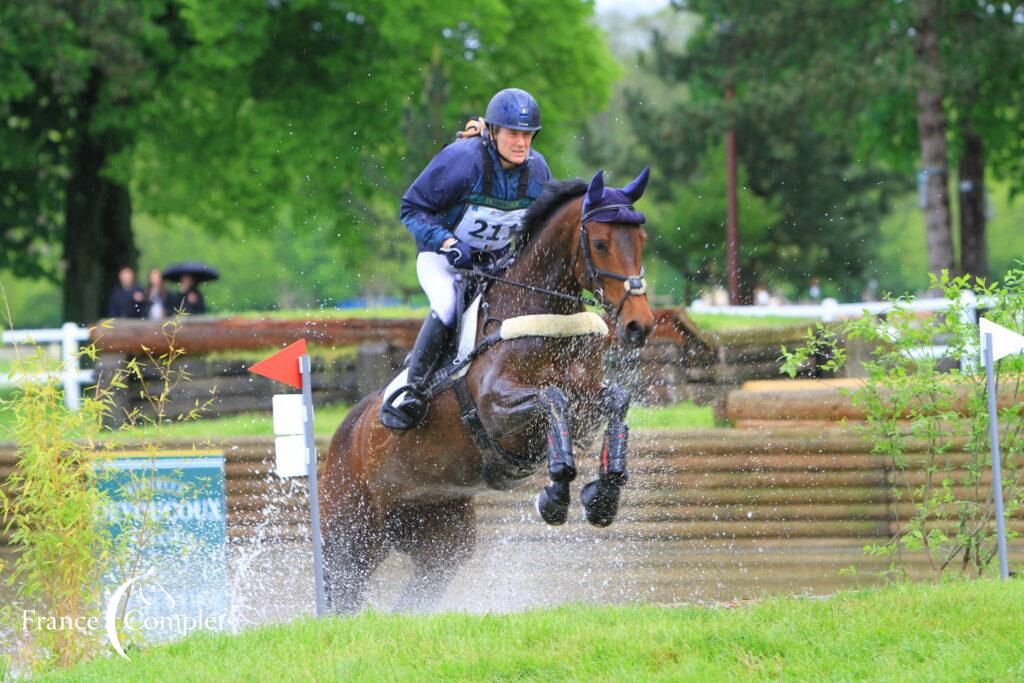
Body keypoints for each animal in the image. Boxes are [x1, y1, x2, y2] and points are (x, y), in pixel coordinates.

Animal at [317, 166, 655, 614]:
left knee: (419, 592)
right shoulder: (496, 413)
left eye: (641, 240)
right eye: (600, 243)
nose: (639, 325)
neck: (542, 314)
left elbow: (615, 400)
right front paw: (554, 495)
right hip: (352, 535)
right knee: (345, 591)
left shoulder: (588, 400)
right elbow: (553, 398)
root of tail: (342, 437)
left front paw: (602, 496)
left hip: (440, 538)